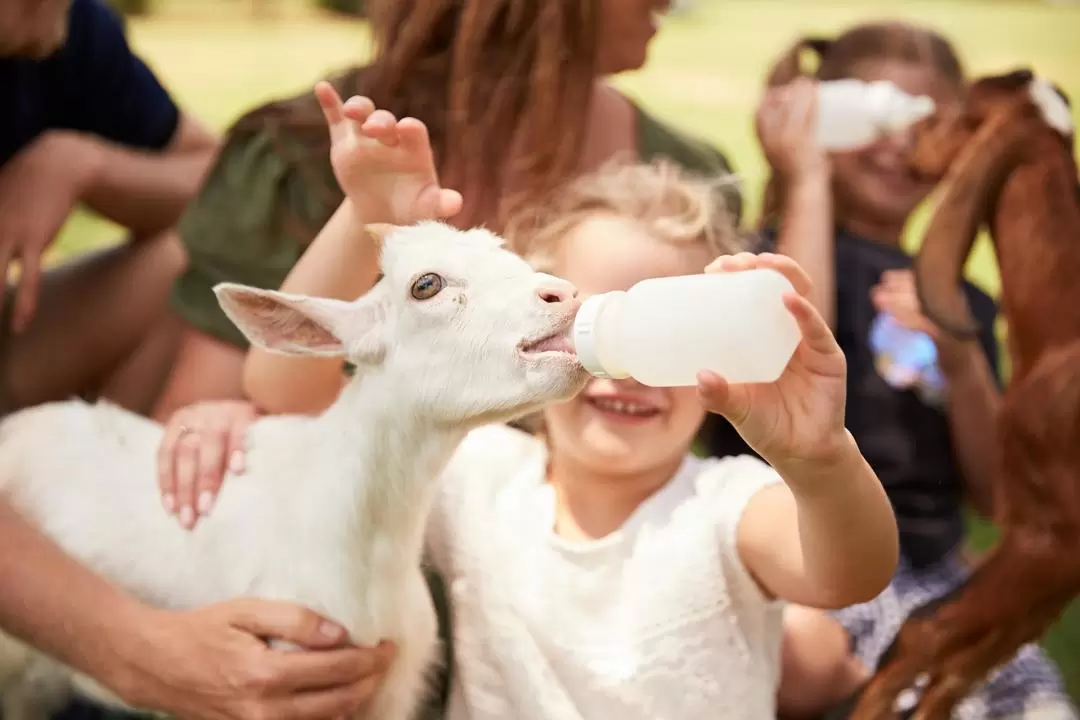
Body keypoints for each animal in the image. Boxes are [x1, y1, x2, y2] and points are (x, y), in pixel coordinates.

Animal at [851, 69, 1080, 720]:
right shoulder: (1049, 552)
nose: (908, 137)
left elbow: (928, 638)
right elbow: (962, 664)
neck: (1062, 330)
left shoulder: (1050, 538)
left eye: (960, 111)